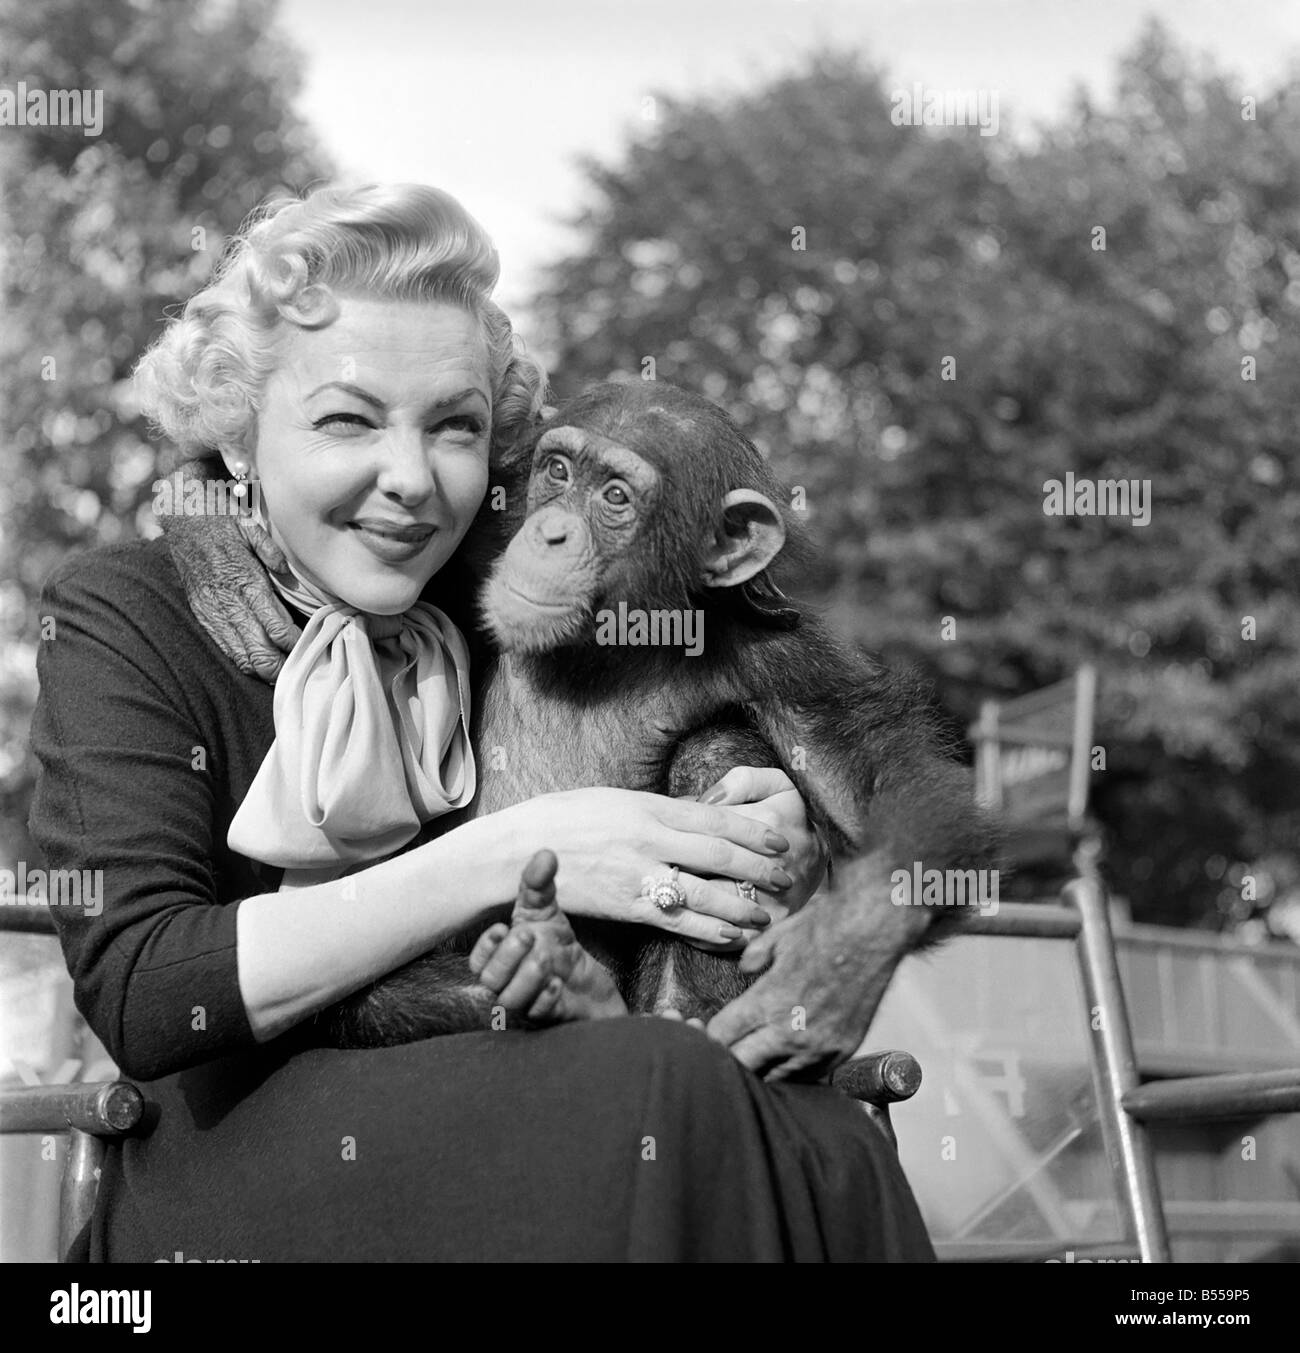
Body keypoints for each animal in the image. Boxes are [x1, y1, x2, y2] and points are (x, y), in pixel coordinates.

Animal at [319, 381, 990, 1044]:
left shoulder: (788, 661)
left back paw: (623, 996)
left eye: (615, 496)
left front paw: (838, 957)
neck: (607, 640)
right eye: (558, 472)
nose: (551, 531)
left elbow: (873, 779)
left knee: (715, 752)